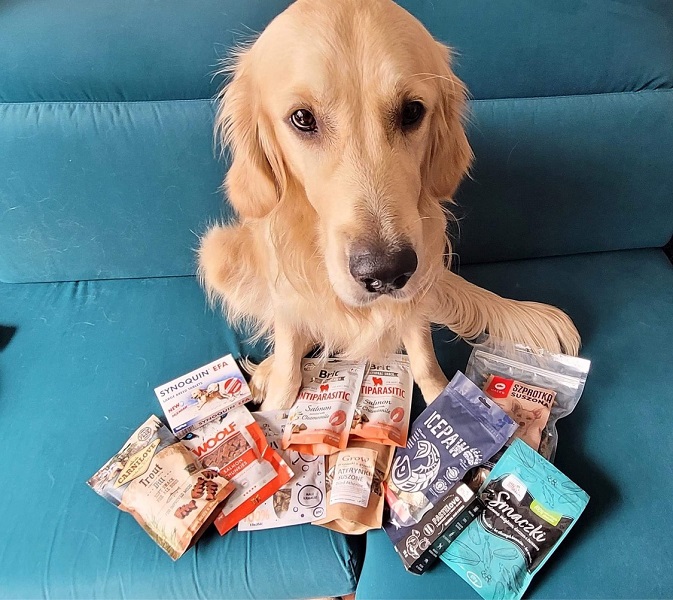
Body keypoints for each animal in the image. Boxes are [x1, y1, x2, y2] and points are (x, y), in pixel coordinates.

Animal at [198, 0, 580, 410]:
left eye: (412, 111)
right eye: (302, 118)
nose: (386, 273)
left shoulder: (420, 283)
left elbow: (423, 356)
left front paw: (446, 400)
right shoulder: (283, 282)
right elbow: (288, 348)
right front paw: (276, 406)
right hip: (220, 252)